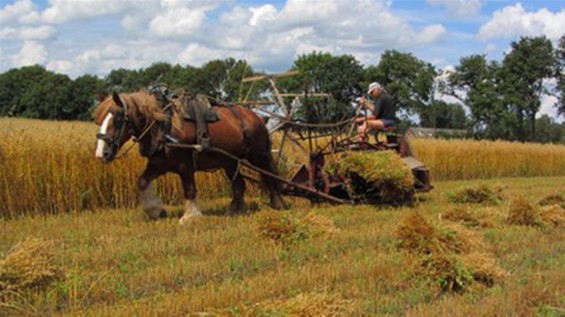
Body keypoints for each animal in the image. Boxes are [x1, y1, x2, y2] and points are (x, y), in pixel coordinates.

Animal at [94, 89, 286, 225]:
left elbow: (190, 189)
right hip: (230, 162)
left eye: (118, 119)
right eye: (100, 120)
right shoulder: (158, 164)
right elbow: (142, 181)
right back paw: (234, 211)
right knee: (239, 185)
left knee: (270, 177)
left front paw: (190, 216)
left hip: (258, 156)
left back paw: (278, 204)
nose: (101, 154)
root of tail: (257, 117)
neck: (164, 126)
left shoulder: (185, 165)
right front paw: (155, 210)